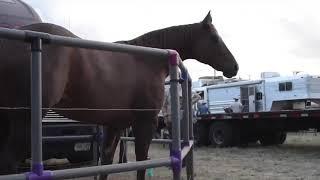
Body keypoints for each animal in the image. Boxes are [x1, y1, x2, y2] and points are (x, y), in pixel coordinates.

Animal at [0, 11, 236, 179]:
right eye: (215, 38)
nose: (234, 67)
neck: (145, 59)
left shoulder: (114, 125)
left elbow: (105, 164)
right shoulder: (145, 123)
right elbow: (141, 163)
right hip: (24, 120)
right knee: (9, 163)